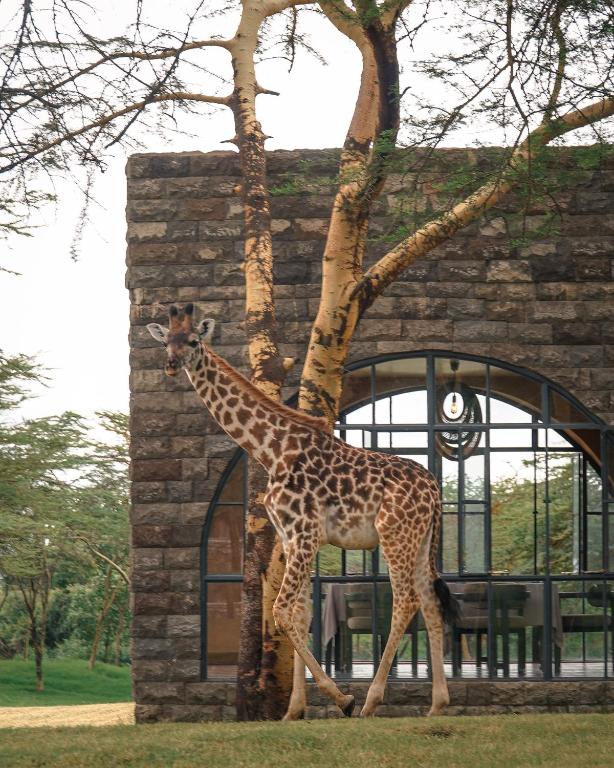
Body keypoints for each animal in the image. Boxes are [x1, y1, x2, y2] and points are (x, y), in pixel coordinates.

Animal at [147, 303, 459, 719]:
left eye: (194, 341)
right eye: (167, 340)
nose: (170, 363)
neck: (272, 450)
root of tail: (434, 489)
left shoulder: (304, 533)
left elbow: (281, 610)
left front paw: (341, 698)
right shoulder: (292, 536)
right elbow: (298, 613)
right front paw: (294, 710)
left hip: (395, 534)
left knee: (406, 600)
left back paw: (371, 701)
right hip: (420, 540)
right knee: (430, 601)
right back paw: (438, 705)